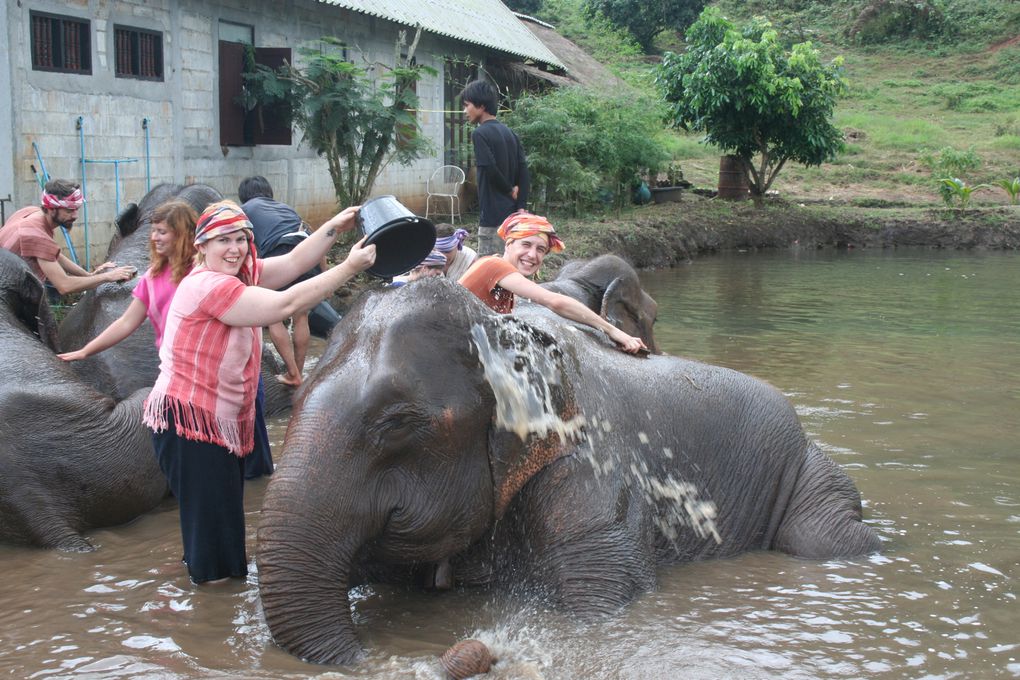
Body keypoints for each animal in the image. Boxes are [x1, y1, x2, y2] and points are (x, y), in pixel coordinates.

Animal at [255, 277, 877, 664]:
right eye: (295, 396)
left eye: (398, 422)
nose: (370, 656)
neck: (501, 329)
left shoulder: (590, 477)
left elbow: (602, 605)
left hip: (808, 472)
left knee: (831, 539)